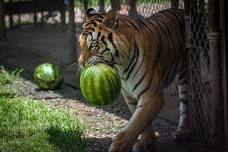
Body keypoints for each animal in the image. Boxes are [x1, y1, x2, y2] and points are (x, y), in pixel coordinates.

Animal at [79, 7, 191, 152]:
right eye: (80, 44)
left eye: (93, 46)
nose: (81, 63)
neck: (121, 65)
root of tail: (181, 10)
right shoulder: (130, 96)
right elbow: (142, 121)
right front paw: (147, 142)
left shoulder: (152, 95)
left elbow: (137, 121)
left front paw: (118, 146)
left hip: (185, 74)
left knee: (185, 104)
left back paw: (183, 131)